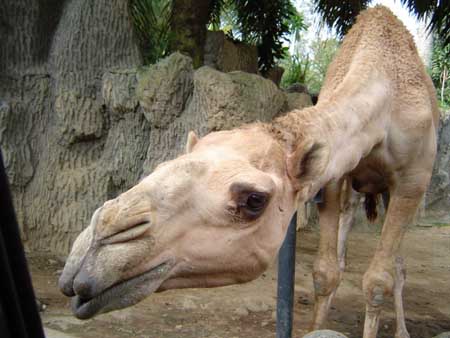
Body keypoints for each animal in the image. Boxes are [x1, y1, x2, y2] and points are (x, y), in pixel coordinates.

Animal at [58, 5, 438, 338]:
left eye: (254, 199)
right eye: (162, 165)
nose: (89, 253)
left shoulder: (412, 181)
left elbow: (377, 280)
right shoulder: (331, 179)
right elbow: (324, 273)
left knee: (397, 266)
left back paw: (402, 330)